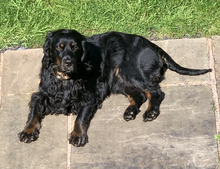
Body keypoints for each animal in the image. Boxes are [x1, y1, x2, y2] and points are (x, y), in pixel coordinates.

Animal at [18, 29, 211, 147]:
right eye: (59, 47)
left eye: (75, 48)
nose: (68, 62)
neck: (66, 79)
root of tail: (151, 45)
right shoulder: (43, 94)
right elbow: (34, 111)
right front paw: (28, 131)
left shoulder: (89, 97)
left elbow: (80, 118)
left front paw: (77, 135)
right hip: (117, 79)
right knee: (139, 95)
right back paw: (130, 111)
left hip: (130, 71)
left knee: (155, 92)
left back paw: (150, 112)